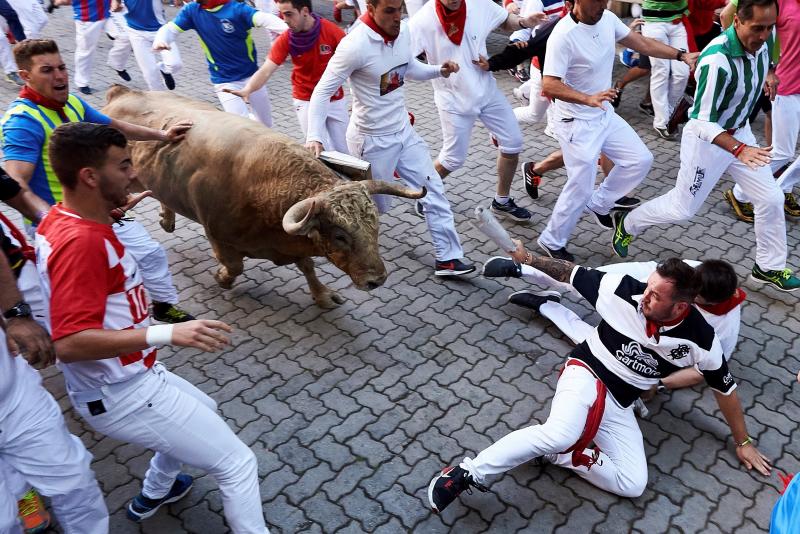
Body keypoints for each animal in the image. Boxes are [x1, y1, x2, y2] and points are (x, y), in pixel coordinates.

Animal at [104, 87, 424, 310]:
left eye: (375, 227)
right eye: (340, 236)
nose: (377, 279)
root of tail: (124, 92)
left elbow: (307, 266)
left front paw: (322, 295)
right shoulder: (218, 236)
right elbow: (235, 266)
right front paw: (222, 278)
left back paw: (166, 219)